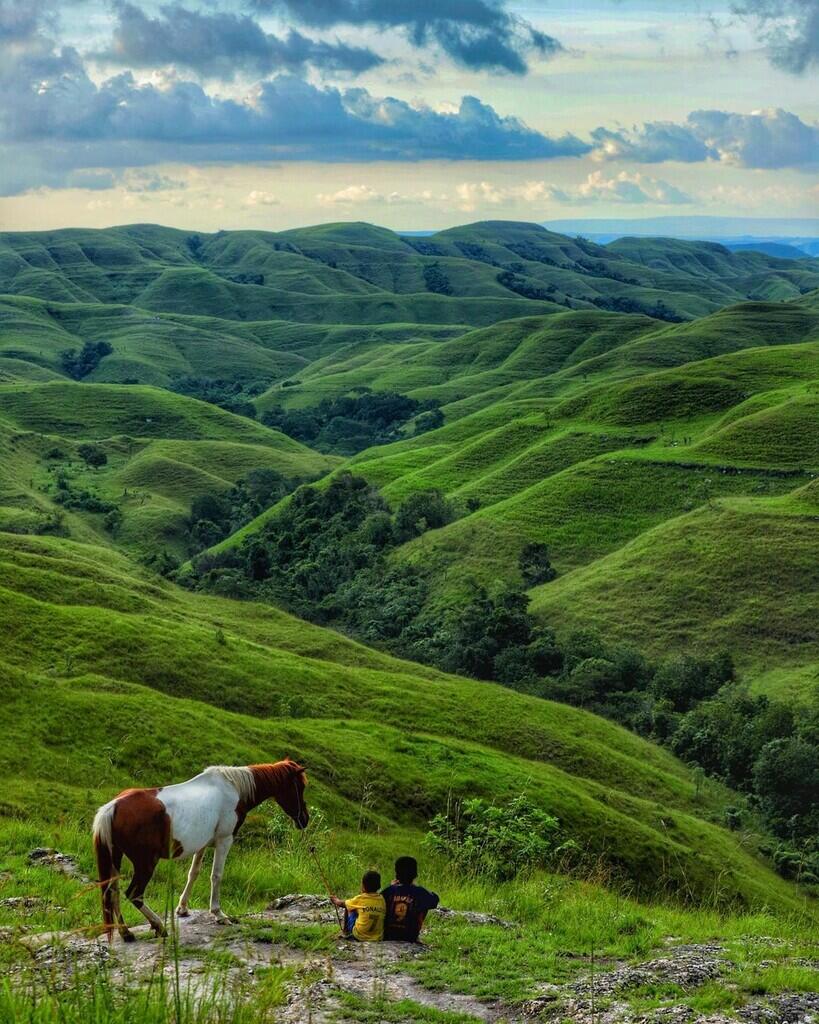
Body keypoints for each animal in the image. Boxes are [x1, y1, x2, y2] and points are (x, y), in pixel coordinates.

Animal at [92, 757, 309, 937]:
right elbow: (216, 875)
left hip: (116, 858)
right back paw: (159, 926)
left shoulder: (202, 845)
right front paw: (218, 914)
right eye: (299, 786)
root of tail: (113, 806)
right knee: (133, 895)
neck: (233, 789)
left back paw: (125, 932)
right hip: (145, 863)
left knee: (113, 891)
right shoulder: (224, 840)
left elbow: (193, 873)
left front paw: (182, 908)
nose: (304, 819)